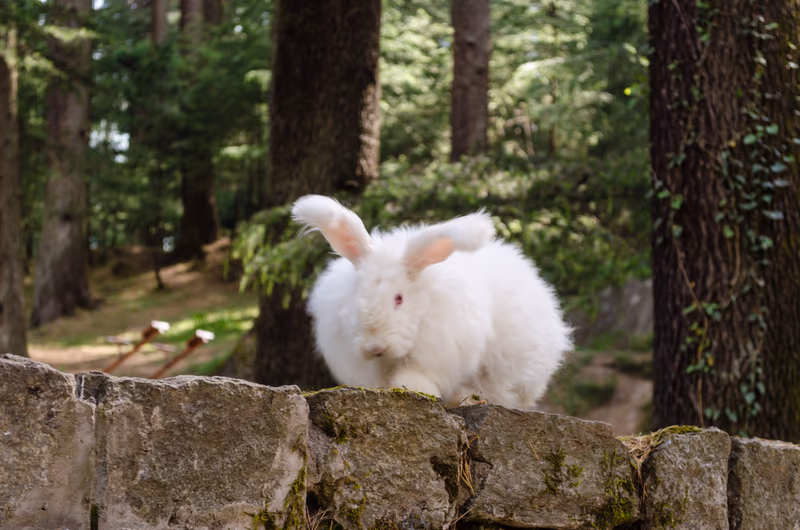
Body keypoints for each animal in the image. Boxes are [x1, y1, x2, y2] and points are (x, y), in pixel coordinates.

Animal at [291, 194, 572, 410]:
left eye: (399, 298)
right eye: (356, 293)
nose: (375, 346)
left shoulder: (438, 352)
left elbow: (417, 375)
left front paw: (413, 388)